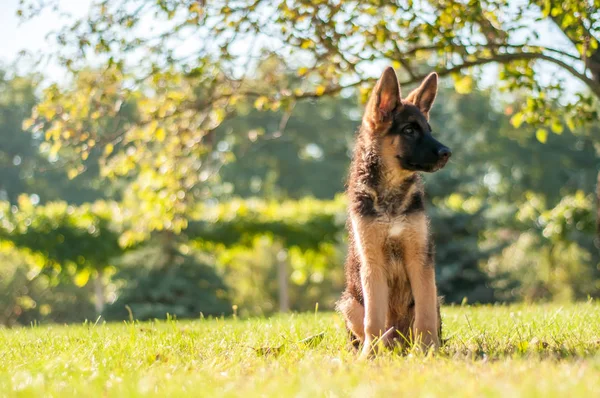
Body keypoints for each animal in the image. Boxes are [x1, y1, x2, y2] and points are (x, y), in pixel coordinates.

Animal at [338, 67, 450, 358]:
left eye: (429, 130)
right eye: (409, 130)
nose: (447, 153)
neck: (391, 195)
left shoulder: (419, 259)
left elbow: (424, 316)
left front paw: (428, 350)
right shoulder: (372, 262)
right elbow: (373, 319)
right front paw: (369, 355)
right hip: (349, 302)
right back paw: (379, 349)